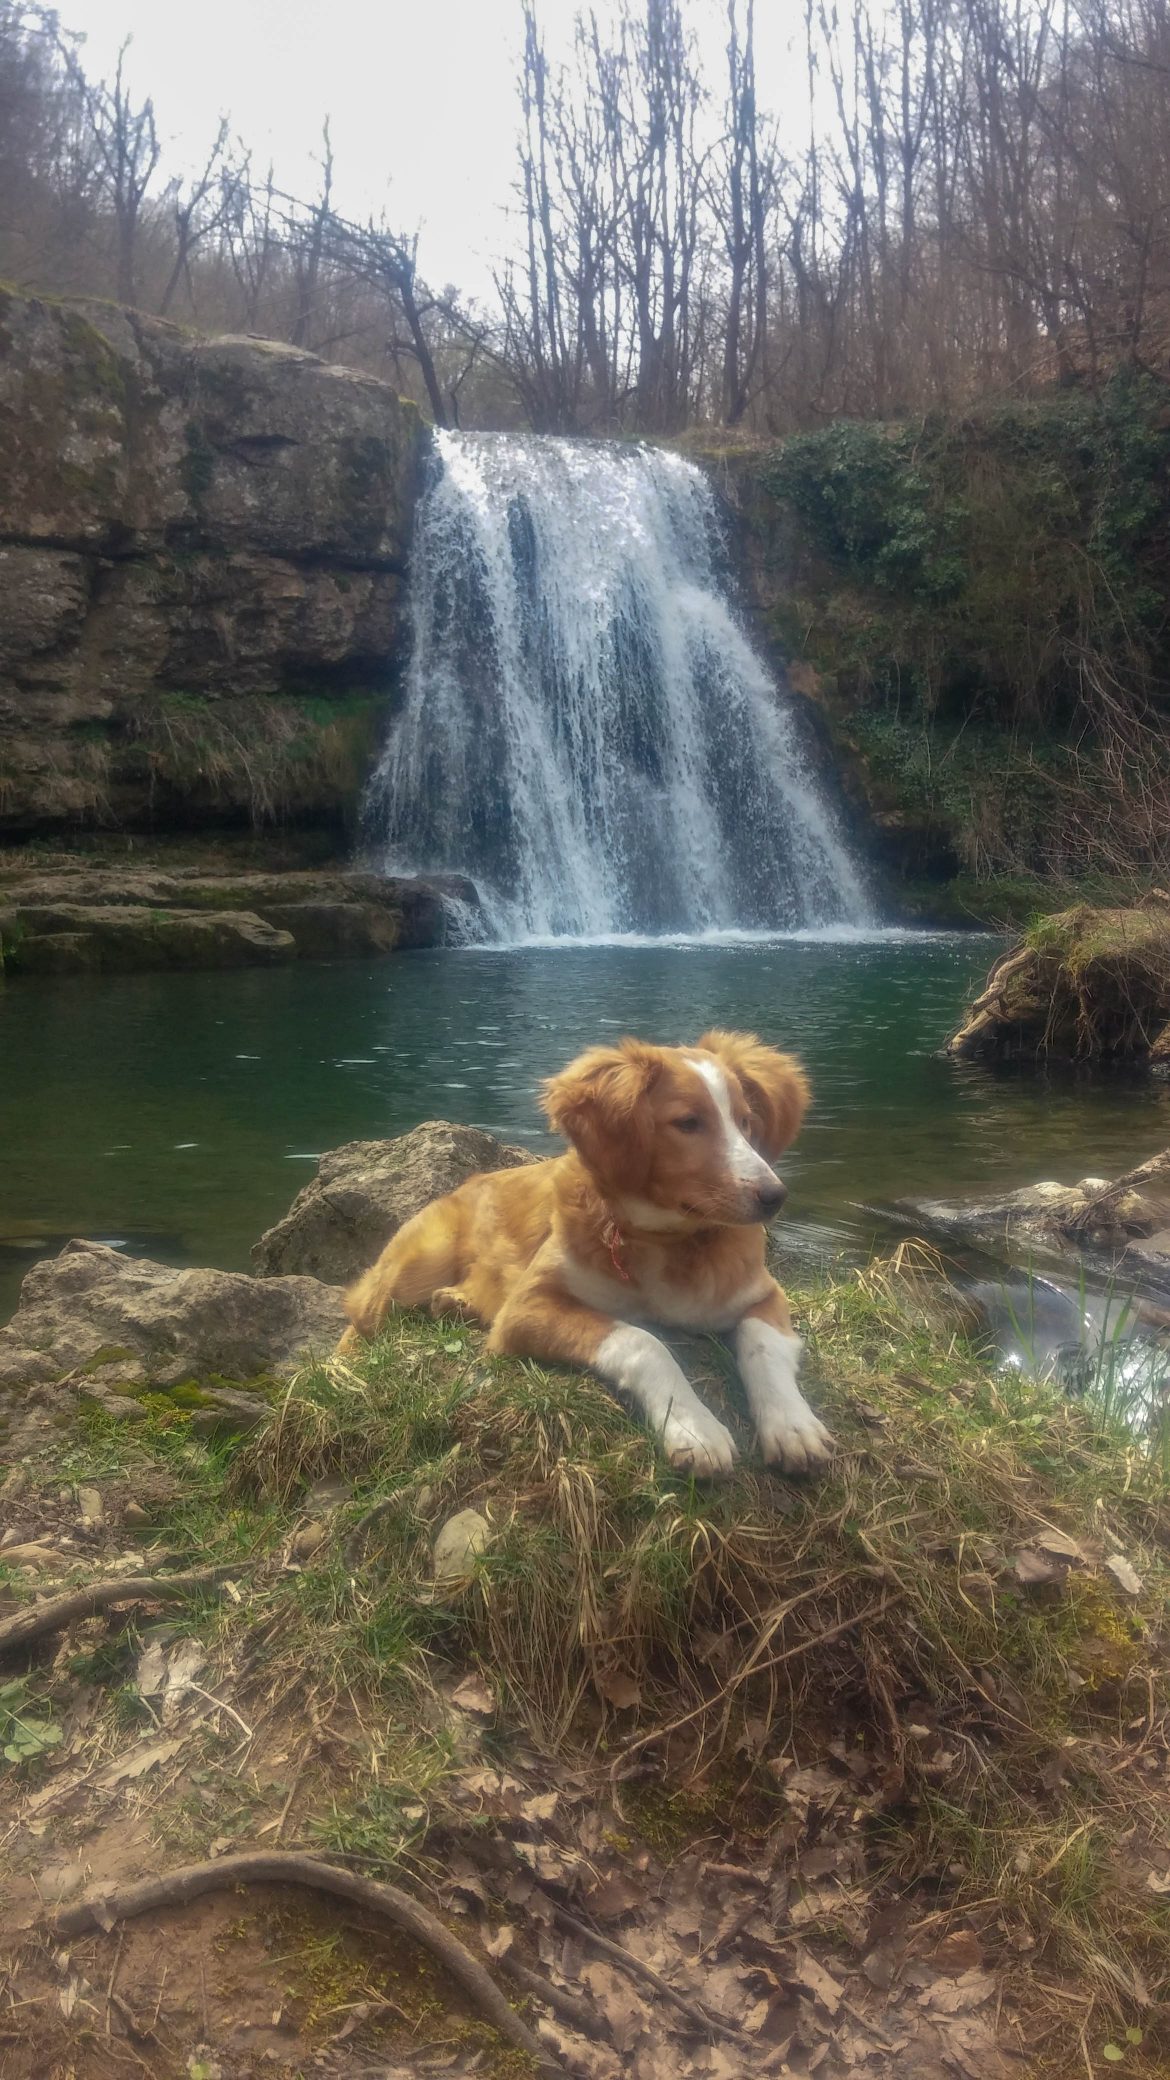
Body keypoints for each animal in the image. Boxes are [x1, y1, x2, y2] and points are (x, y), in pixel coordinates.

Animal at [341, 1031, 832, 1472]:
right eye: (688, 1123)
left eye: (746, 1121)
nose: (775, 1197)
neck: (664, 1242)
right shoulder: (527, 1308)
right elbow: (643, 1340)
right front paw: (694, 1428)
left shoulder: (764, 1294)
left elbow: (762, 1345)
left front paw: (793, 1425)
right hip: (413, 1268)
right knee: (358, 1321)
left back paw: (455, 1303)